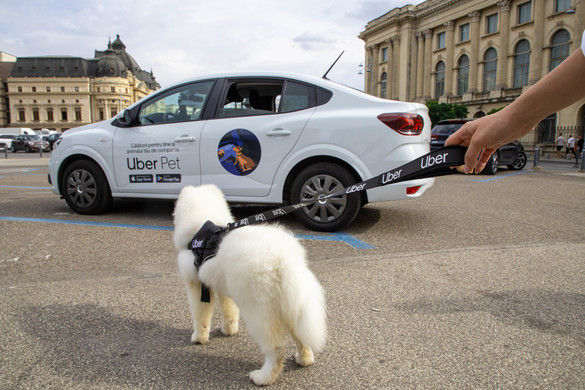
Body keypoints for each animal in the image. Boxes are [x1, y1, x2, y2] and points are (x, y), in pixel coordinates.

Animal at [173, 185, 328, 384]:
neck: (202, 229)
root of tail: (282, 259)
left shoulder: (197, 285)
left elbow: (200, 317)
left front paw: (198, 338)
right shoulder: (224, 288)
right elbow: (229, 312)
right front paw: (228, 330)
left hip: (259, 312)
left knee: (276, 349)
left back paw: (262, 378)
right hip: (292, 304)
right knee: (300, 336)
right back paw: (304, 359)